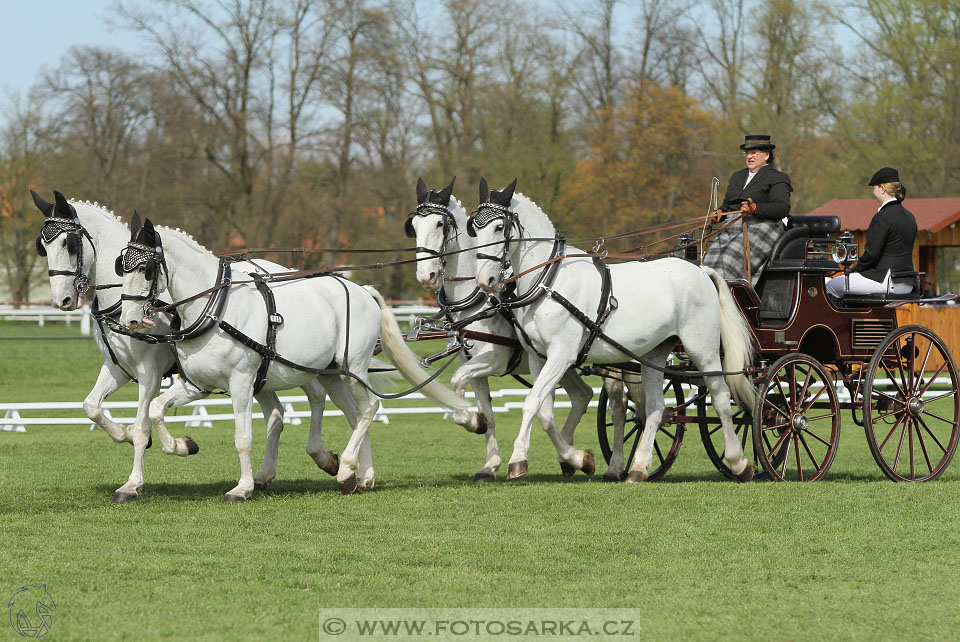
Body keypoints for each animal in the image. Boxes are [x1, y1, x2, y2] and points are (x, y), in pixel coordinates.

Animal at [31, 190, 292, 500]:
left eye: (68, 243)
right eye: (43, 246)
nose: (62, 301)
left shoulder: (151, 372)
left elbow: (143, 425)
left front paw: (134, 482)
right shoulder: (117, 366)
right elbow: (91, 406)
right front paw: (124, 433)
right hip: (262, 374)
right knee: (275, 414)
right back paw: (265, 475)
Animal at [118, 212, 470, 498]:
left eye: (146, 269)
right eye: (121, 267)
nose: (129, 320)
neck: (215, 308)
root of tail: (364, 292)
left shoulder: (241, 383)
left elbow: (242, 437)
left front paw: (242, 488)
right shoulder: (197, 385)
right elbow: (155, 410)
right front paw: (180, 446)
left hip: (353, 368)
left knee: (369, 408)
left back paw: (347, 470)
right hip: (332, 374)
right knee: (355, 414)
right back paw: (360, 475)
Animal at [404, 178, 592, 478]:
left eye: (439, 224)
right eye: (414, 226)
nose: (426, 276)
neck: (476, 298)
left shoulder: (495, 358)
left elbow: (456, 379)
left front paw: (473, 421)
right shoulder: (472, 363)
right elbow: (486, 411)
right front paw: (489, 459)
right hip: (563, 361)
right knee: (583, 395)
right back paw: (571, 457)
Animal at [472, 179, 756, 480]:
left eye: (499, 227)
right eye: (474, 228)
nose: (485, 280)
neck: (549, 281)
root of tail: (701, 270)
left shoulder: (562, 355)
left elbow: (531, 402)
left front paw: (519, 459)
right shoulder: (539, 357)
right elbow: (544, 411)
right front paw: (576, 458)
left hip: (704, 351)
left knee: (721, 397)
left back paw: (739, 463)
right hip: (654, 355)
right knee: (655, 408)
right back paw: (639, 468)